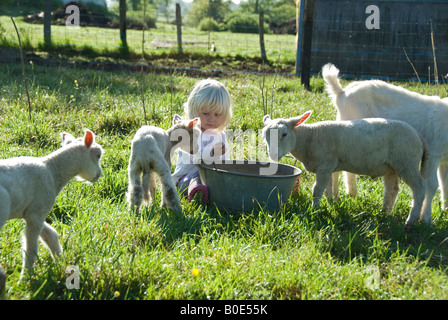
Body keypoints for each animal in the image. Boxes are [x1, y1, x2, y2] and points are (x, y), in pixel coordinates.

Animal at [0, 129, 104, 282]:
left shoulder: (34, 212)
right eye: (98, 155)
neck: (52, 171)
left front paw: (62, 261)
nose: (99, 175)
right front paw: (25, 278)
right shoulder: (36, 213)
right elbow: (31, 249)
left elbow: (50, 234)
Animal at [264, 111, 428, 229]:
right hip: (391, 167)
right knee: (392, 190)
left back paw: (410, 220)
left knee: (420, 187)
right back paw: (384, 214)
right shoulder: (328, 167)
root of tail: (419, 136)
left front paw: (314, 210)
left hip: (407, 162)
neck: (309, 138)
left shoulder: (325, 164)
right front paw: (331, 206)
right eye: (265, 136)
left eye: (284, 134)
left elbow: (317, 190)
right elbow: (327, 190)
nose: (273, 155)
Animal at [324, 62, 448, 222]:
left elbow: (445, 185)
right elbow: (432, 184)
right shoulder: (433, 153)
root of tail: (342, 93)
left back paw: (347, 195)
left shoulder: (445, 159)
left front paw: (445, 211)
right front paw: (426, 219)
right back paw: (339, 197)